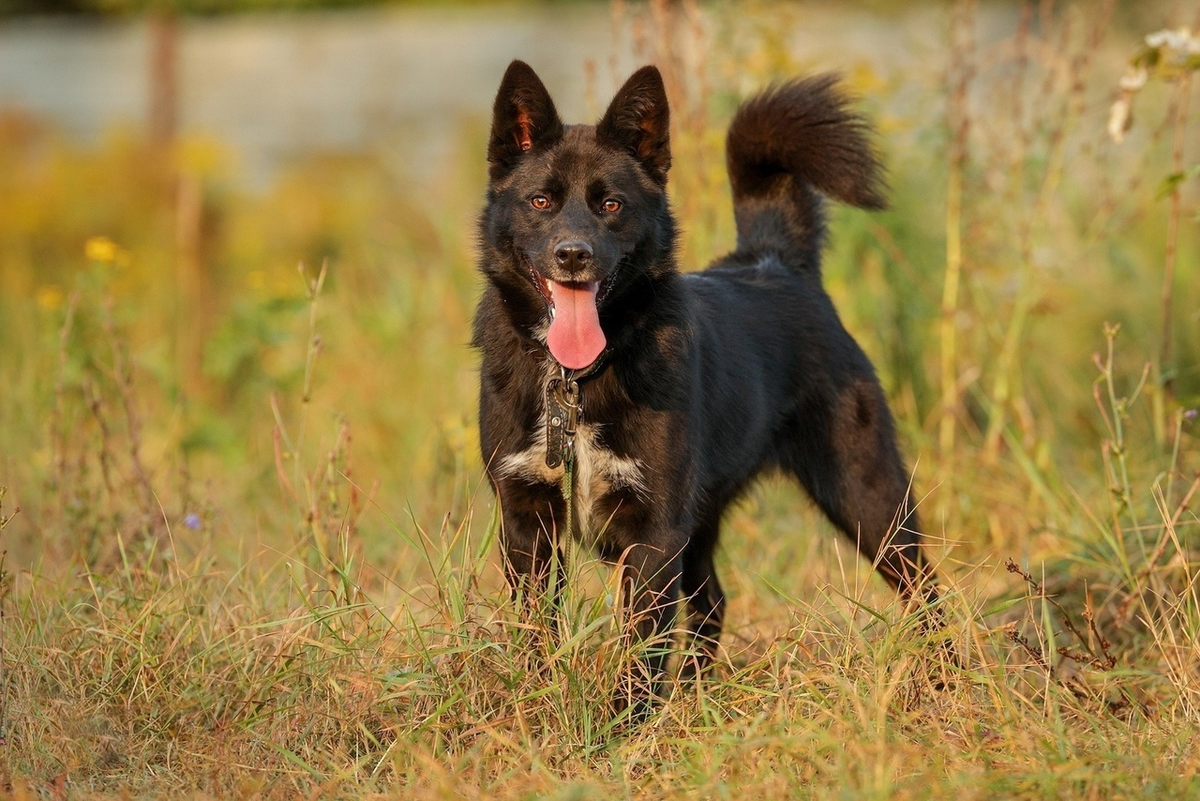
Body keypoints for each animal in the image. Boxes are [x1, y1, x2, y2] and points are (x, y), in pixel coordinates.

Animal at [472, 61, 931, 714]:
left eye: (610, 204)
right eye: (540, 201)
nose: (573, 255)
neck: (579, 380)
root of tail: (775, 260)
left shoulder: (655, 530)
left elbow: (640, 646)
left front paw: (623, 726)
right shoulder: (528, 521)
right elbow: (537, 629)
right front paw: (539, 705)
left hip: (867, 494)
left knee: (925, 589)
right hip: (708, 518)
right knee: (712, 601)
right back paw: (694, 695)